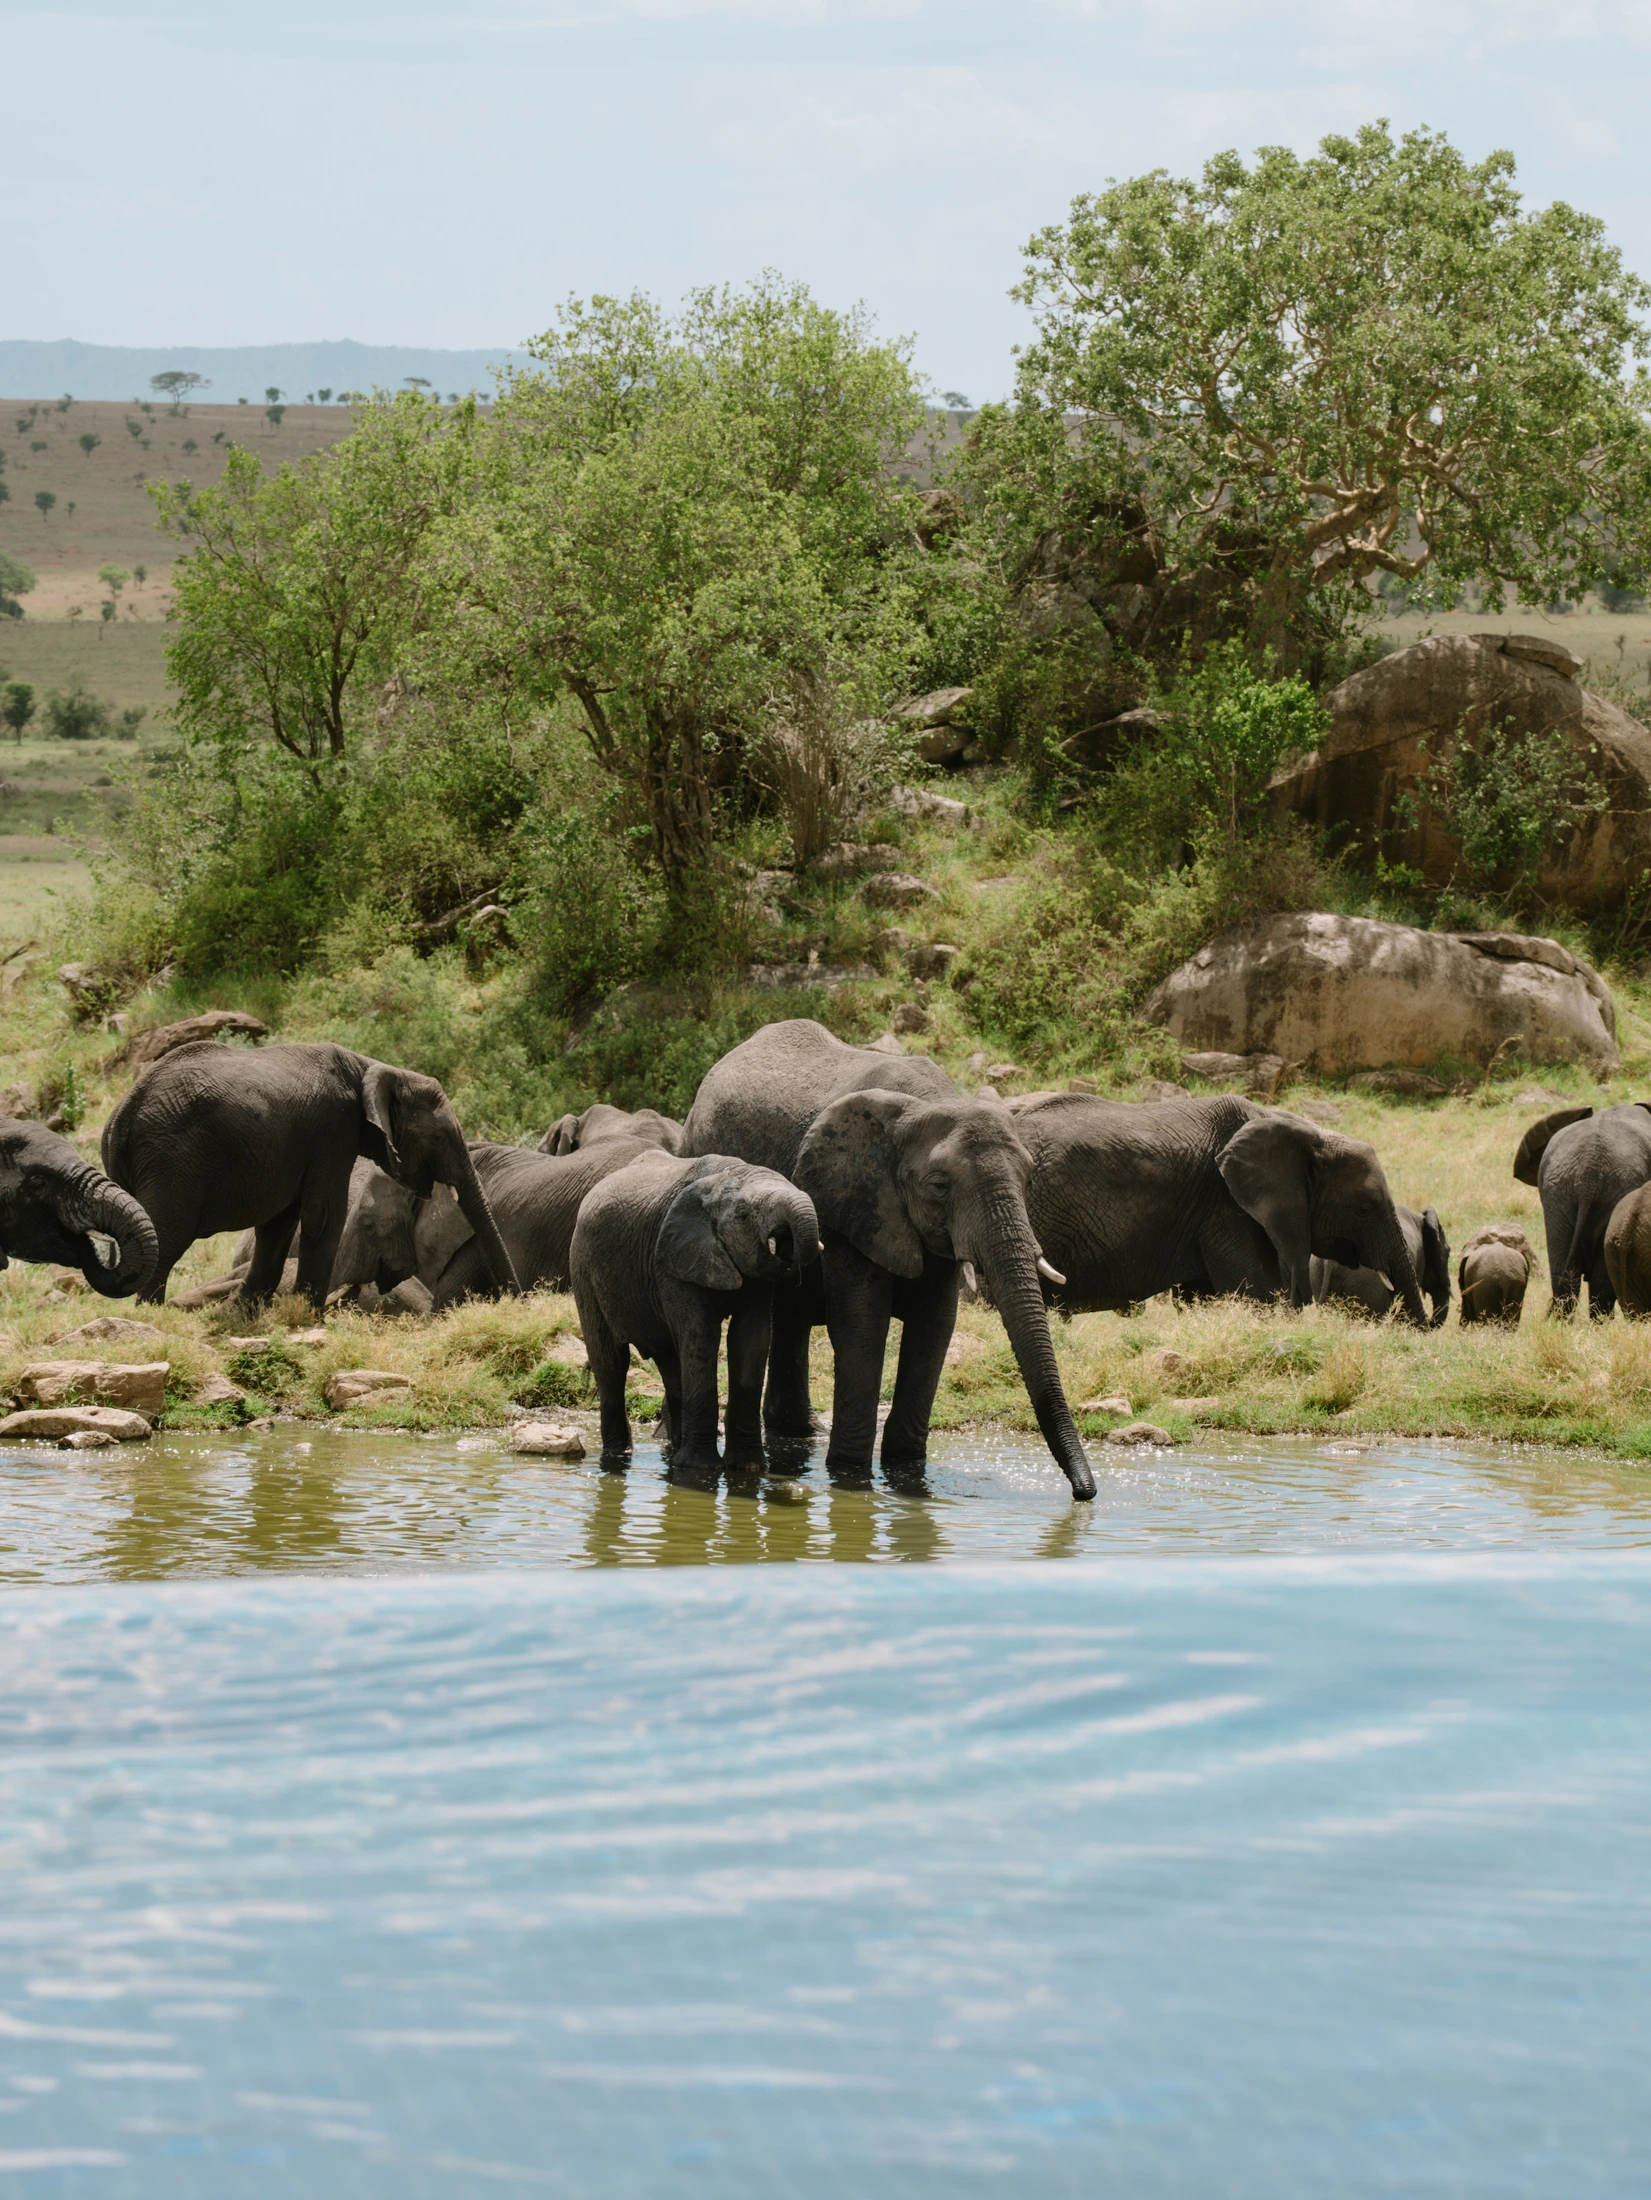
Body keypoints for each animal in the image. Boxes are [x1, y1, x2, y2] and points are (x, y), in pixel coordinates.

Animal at [101, 1040, 520, 1309]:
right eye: (438, 1136)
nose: (516, 1299)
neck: (372, 1067)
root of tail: (122, 1113)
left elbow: (279, 1224)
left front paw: (246, 1311)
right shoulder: (332, 1131)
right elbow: (323, 1216)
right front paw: (309, 1314)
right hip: (172, 1159)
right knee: (166, 1236)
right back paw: (150, 1315)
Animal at [571, 1150, 822, 1473]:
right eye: (743, 1214)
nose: (784, 1242)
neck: (724, 1177)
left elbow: (750, 1339)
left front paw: (748, 1468)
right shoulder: (673, 1260)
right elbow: (701, 1333)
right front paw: (700, 1469)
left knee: (669, 1358)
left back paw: (673, 1451)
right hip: (583, 1267)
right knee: (611, 1361)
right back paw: (618, 1456)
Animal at [682, 1019, 1097, 1499]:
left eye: (1028, 1176)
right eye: (939, 1186)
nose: (1084, 1493)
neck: (927, 1103)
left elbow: (934, 1328)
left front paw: (907, 1473)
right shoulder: (852, 1204)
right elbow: (863, 1324)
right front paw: (850, 1475)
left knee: (790, 1318)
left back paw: (799, 1433)